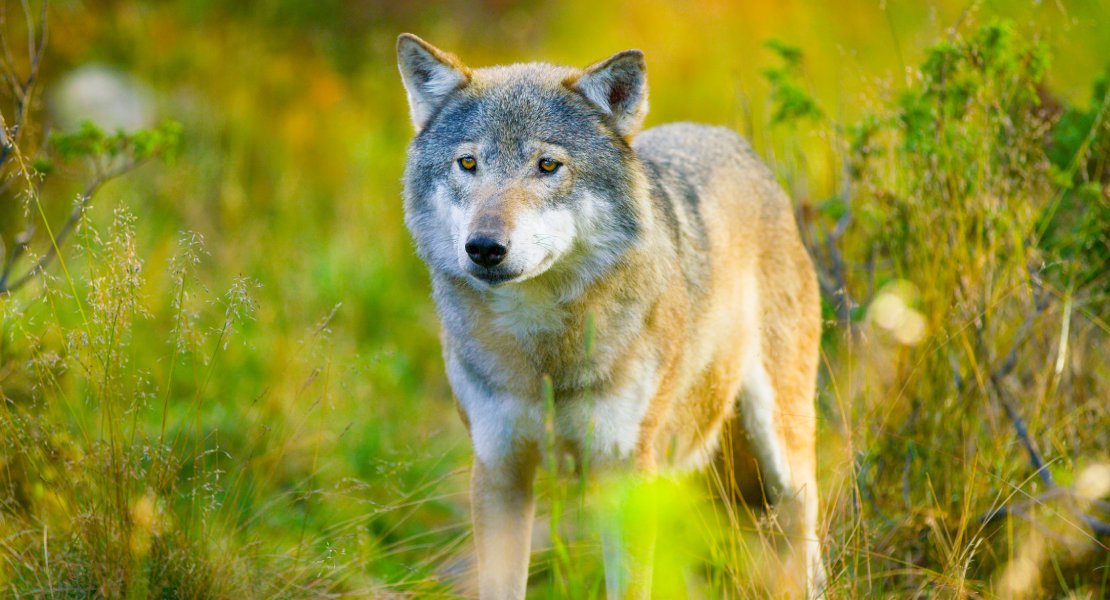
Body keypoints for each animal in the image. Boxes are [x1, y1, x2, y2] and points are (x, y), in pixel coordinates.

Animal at [397, 33, 825, 598]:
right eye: (468, 164)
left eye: (547, 166)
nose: (484, 247)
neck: (544, 357)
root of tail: (734, 142)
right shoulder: (498, 471)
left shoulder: (625, 477)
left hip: (780, 450)